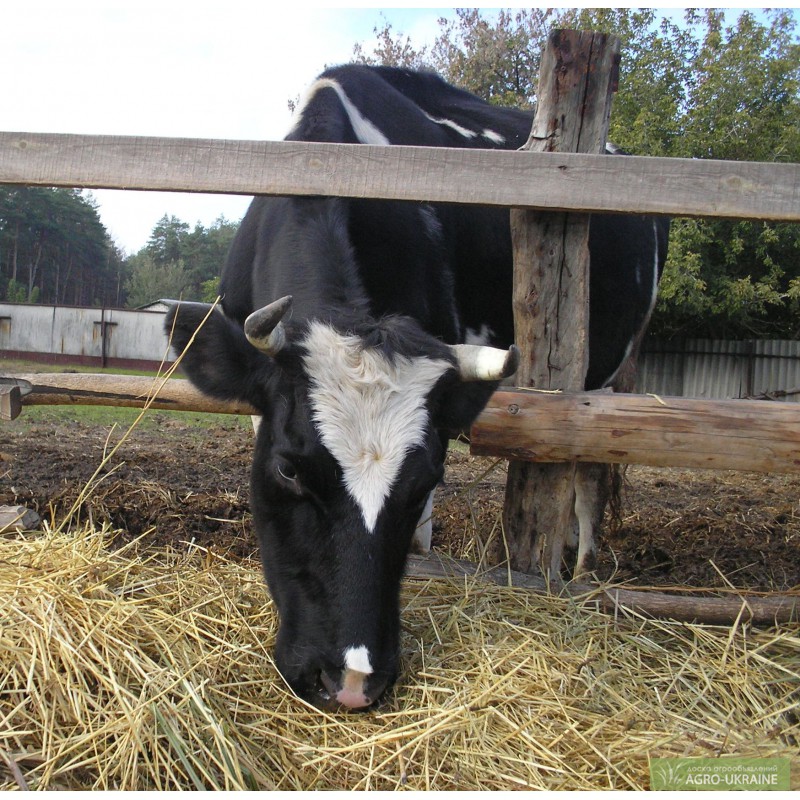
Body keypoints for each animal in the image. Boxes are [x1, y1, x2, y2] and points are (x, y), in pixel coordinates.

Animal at [164, 64, 668, 712]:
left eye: (428, 477)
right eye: (288, 470)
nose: (352, 683)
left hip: (603, 377)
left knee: (589, 474)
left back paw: (580, 569)